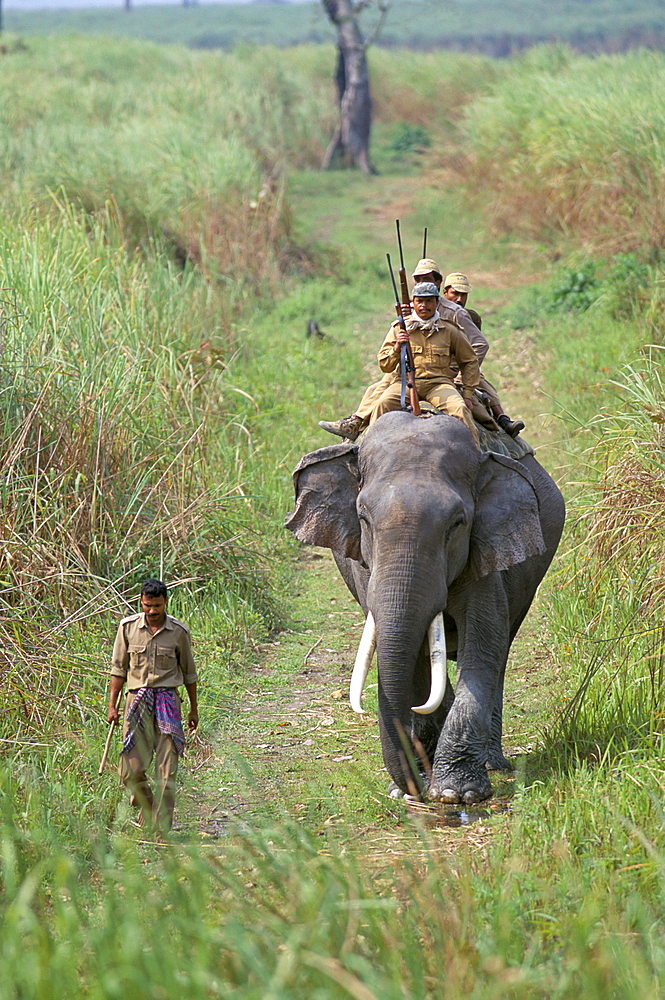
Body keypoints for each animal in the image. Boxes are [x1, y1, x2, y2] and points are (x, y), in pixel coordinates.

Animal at [282, 410, 564, 808]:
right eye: (363, 518)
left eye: (457, 524)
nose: (414, 786)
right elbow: (414, 661)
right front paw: (409, 788)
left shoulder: (486, 553)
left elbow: (483, 649)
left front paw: (455, 793)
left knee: (501, 654)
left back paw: (491, 763)